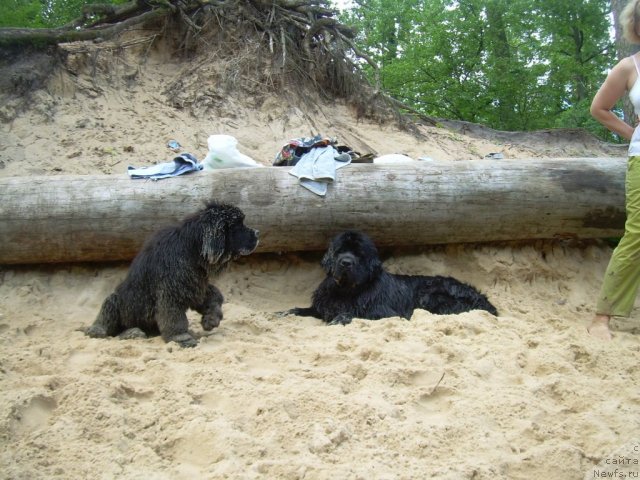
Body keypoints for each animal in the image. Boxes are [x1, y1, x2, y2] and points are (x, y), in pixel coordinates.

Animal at [85, 201, 260, 346]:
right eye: (238, 225)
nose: (258, 232)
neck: (192, 250)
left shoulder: (195, 284)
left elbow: (215, 295)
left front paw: (211, 318)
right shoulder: (172, 292)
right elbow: (174, 317)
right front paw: (181, 338)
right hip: (114, 301)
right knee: (108, 327)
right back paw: (127, 332)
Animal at [284, 230, 500, 326]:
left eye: (359, 254)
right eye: (339, 250)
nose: (346, 262)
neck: (345, 289)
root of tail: (485, 301)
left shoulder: (385, 312)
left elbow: (356, 313)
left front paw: (341, 318)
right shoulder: (324, 304)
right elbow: (306, 310)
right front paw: (289, 311)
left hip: (431, 294)